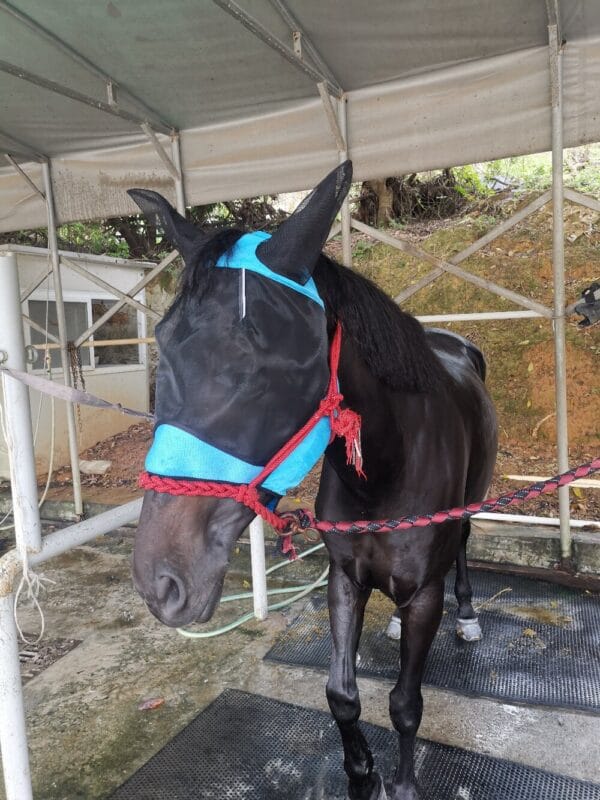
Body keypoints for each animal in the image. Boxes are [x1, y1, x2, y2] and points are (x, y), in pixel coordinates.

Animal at [128, 161, 498, 800]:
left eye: (259, 368)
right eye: (164, 346)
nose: (161, 583)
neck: (387, 470)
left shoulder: (425, 593)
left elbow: (405, 705)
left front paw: (401, 784)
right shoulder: (344, 579)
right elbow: (342, 696)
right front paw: (361, 773)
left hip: (469, 511)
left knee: (465, 549)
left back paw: (470, 615)